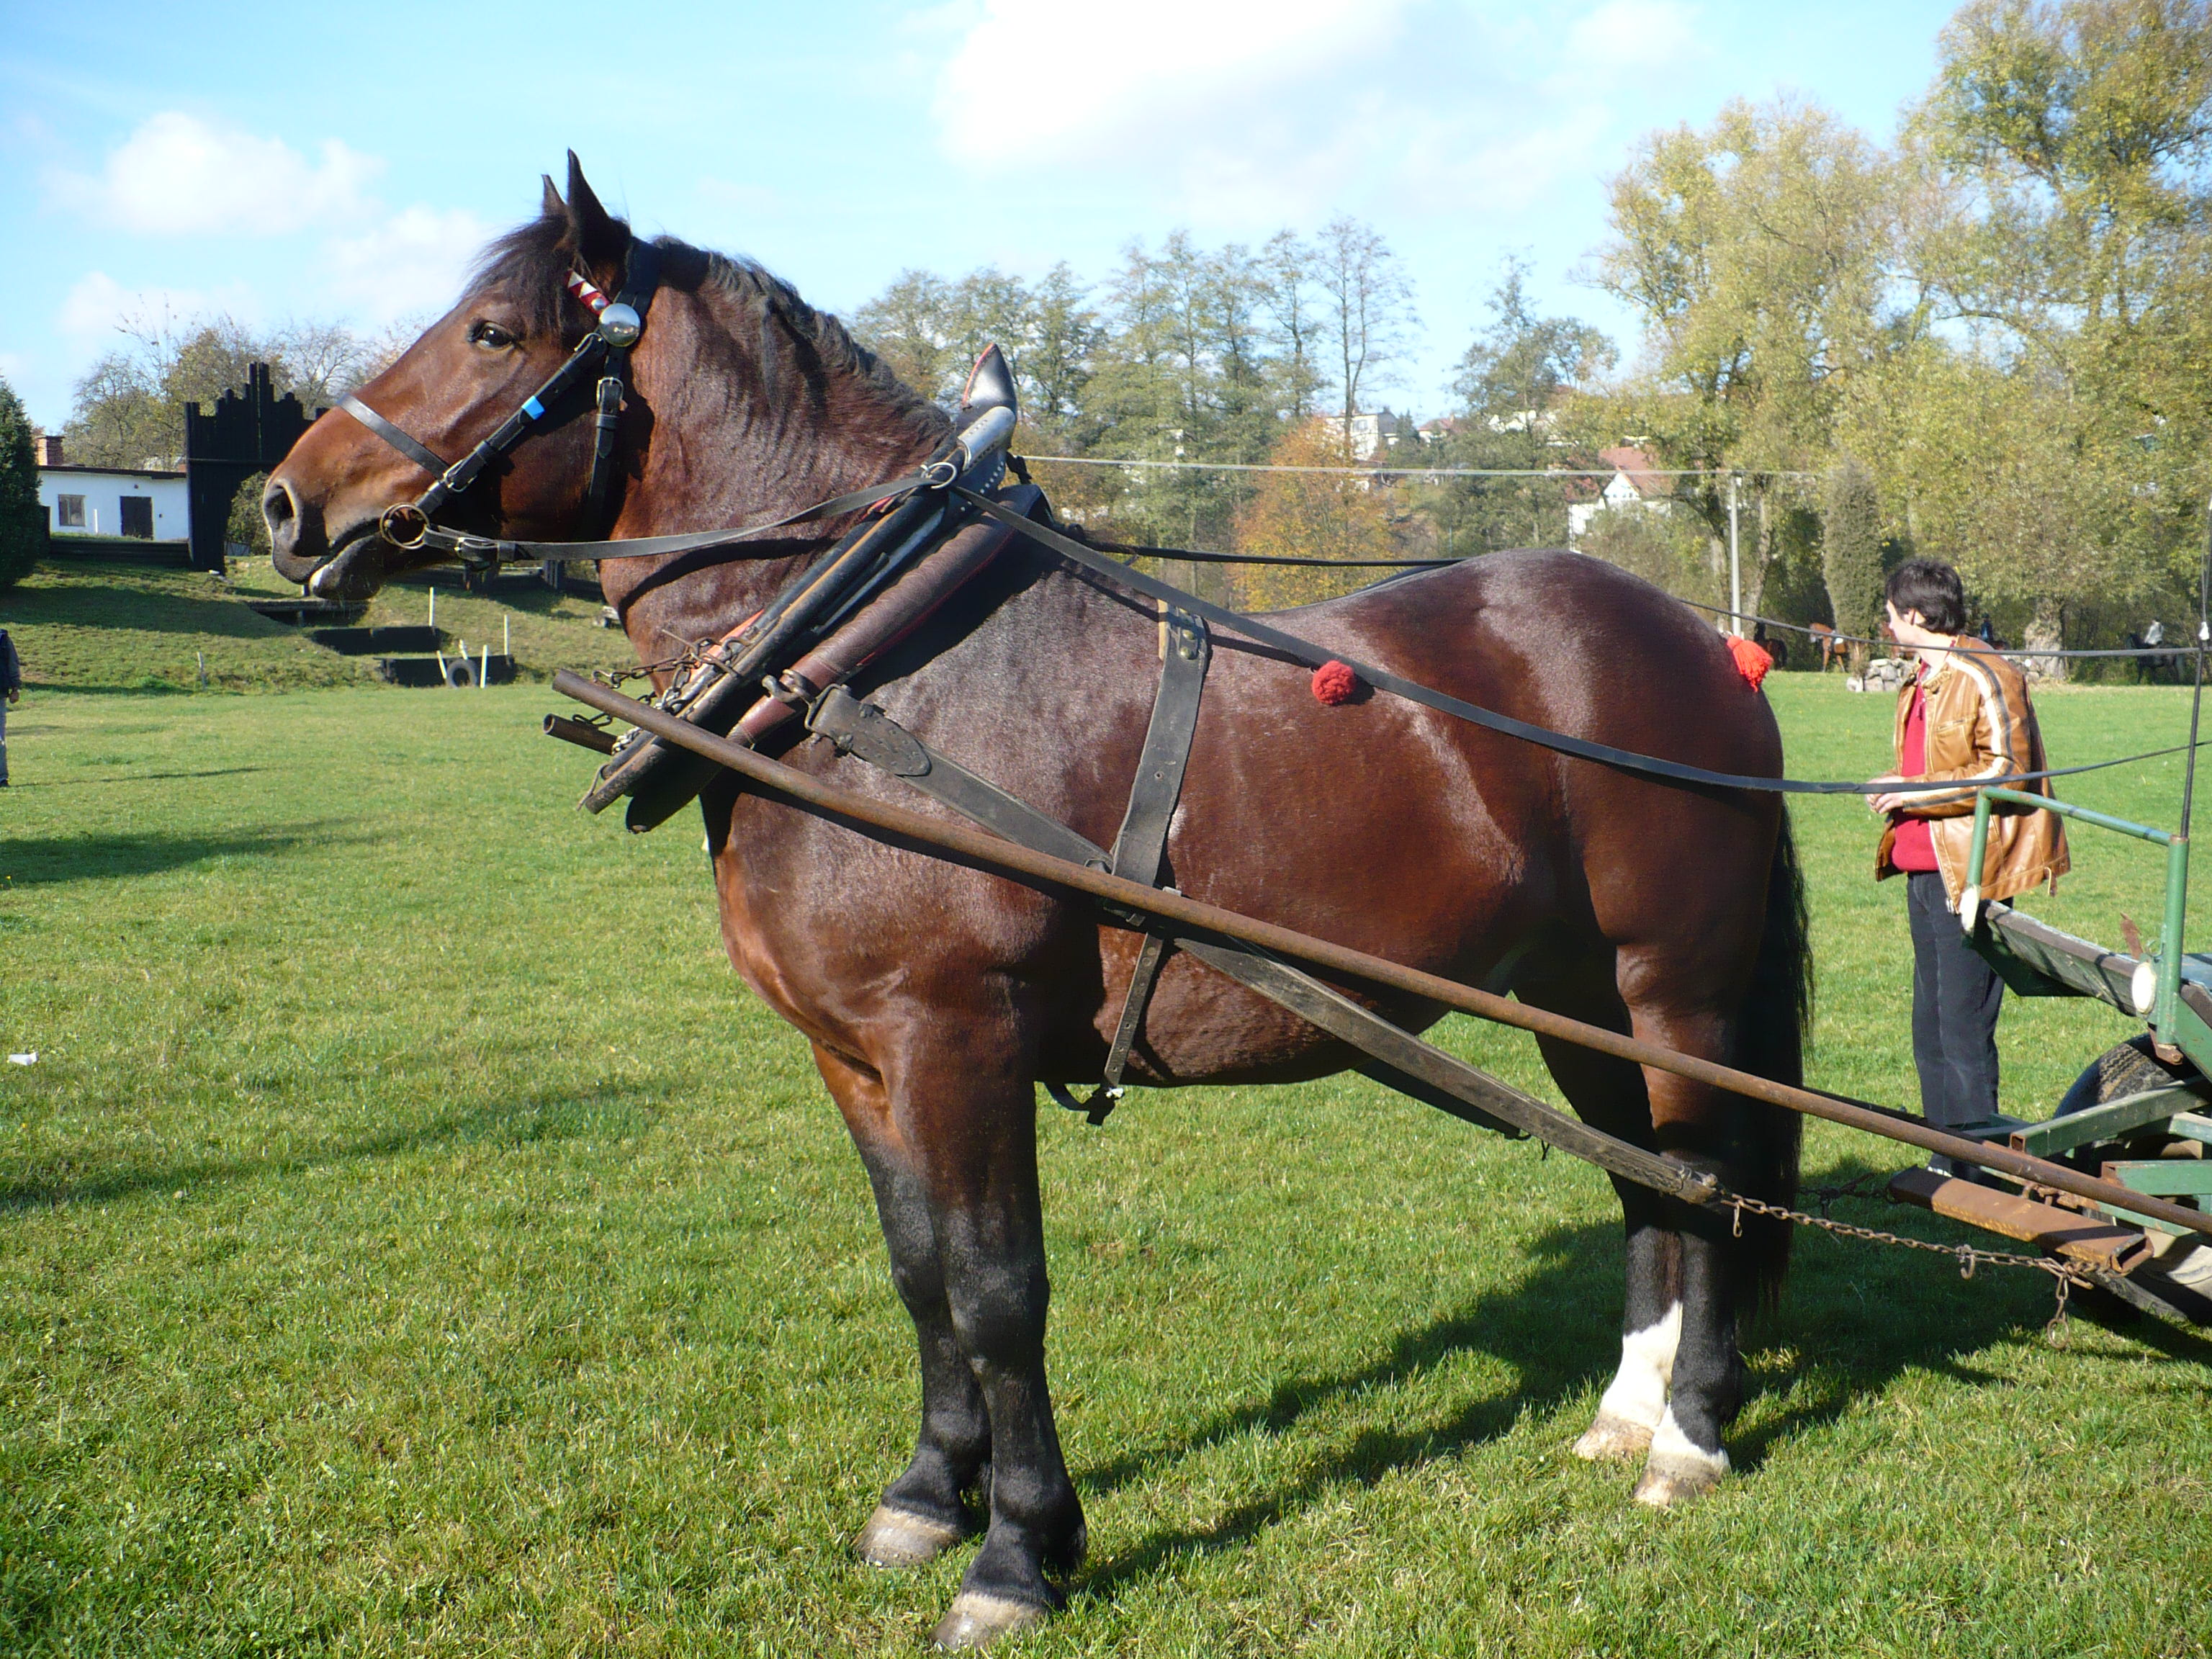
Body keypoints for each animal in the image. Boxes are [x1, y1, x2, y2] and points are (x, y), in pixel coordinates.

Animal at [263, 159, 1814, 1654]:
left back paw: (1688, 1431)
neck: (861, 666)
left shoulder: (960, 1039)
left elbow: (1000, 1289)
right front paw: (923, 1497)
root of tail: (1703, 642)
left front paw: (1018, 1550)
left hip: (1672, 986)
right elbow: (920, 1274)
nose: (287, 501)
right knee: (1646, 1181)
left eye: (493, 332)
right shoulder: (854, 1055)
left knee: (1713, 1178)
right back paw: (1624, 1408)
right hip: (1574, 994)